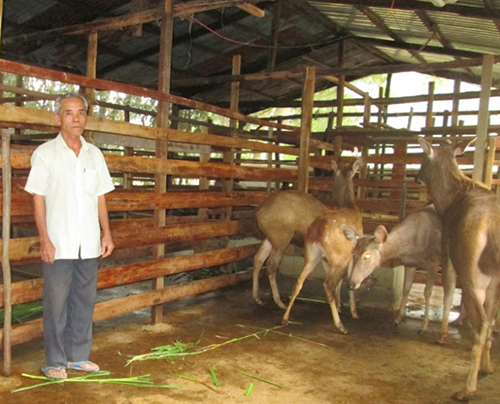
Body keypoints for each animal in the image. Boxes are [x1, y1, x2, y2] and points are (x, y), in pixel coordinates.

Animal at [418, 137, 500, 400]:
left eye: (423, 158)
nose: (417, 176)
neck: (447, 202)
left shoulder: (448, 250)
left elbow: (448, 290)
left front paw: (442, 334)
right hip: (494, 280)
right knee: (490, 320)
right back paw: (486, 367)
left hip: (471, 269)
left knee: (483, 323)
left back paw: (467, 388)